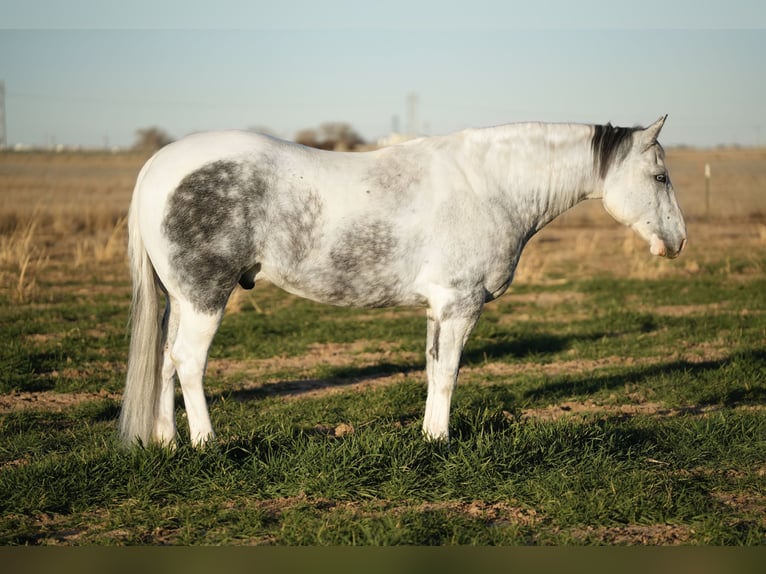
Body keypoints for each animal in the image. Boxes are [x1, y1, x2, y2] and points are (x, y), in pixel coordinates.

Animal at [121, 117, 688, 448]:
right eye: (660, 176)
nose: (678, 241)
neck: (488, 185)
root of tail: (158, 166)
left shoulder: (438, 308)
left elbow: (434, 370)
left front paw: (428, 436)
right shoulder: (460, 304)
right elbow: (449, 373)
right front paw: (440, 441)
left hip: (181, 300)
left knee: (166, 362)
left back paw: (167, 442)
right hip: (205, 297)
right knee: (188, 362)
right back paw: (207, 443)